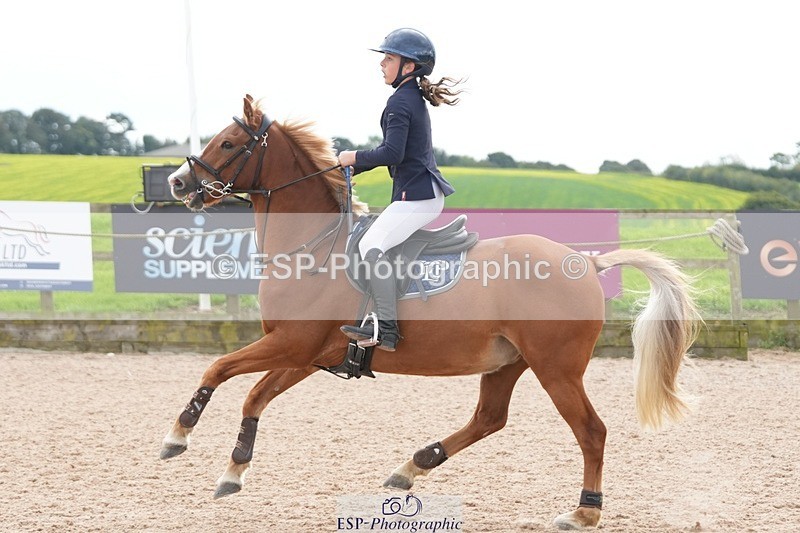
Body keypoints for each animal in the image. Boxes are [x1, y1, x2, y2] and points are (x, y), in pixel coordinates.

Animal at [161, 94, 701, 529]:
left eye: (229, 143)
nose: (177, 181)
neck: (313, 247)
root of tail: (586, 262)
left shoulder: (292, 344)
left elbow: (219, 369)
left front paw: (179, 435)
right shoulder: (307, 353)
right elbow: (255, 396)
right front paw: (233, 469)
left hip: (557, 368)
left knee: (590, 431)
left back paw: (584, 511)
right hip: (509, 362)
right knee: (489, 418)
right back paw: (411, 467)